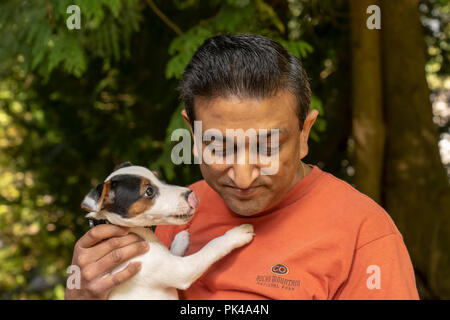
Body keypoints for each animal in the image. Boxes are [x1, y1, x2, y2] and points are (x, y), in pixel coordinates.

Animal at [80, 162, 255, 300]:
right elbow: (212, 246)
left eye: (160, 178)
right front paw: (237, 234)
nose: (192, 195)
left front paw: (181, 237)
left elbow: (173, 249)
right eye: (149, 191)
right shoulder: (180, 270)